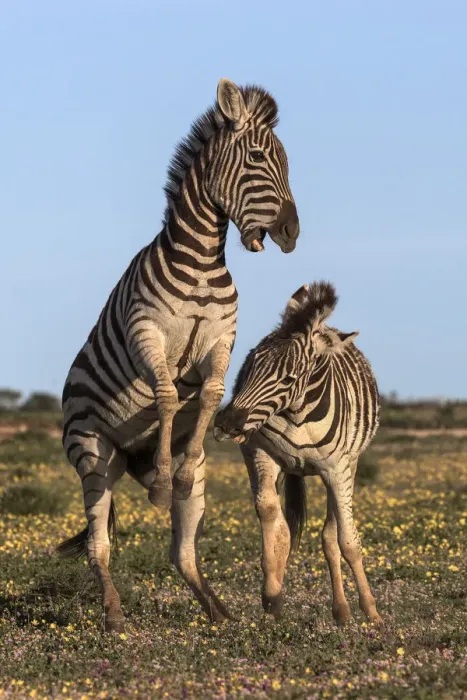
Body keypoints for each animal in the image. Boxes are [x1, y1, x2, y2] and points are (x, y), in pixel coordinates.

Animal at [57, 78, 299, 632]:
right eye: (258, 157)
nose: (291, 233)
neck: (203, 264)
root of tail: (132, 458)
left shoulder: (221, 340)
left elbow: (209, 394)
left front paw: (180, 475)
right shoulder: (145, 332)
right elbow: (167, 396)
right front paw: (168, 481)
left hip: (180, 474)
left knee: (182, 551)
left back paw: (219, 613)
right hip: (93, 457)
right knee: (99, 547)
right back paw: (114, 614)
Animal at [214, 281, 382, 626]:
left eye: (288, 379)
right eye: (249, 365)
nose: (226, 423)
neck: (297, 415)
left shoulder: (336, 469)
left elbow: (347, 541)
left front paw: (371, 611)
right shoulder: (260, 454)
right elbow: (274, 522)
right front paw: (272, 594)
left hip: (349, 467)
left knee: (331, 535)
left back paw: (342, 610)